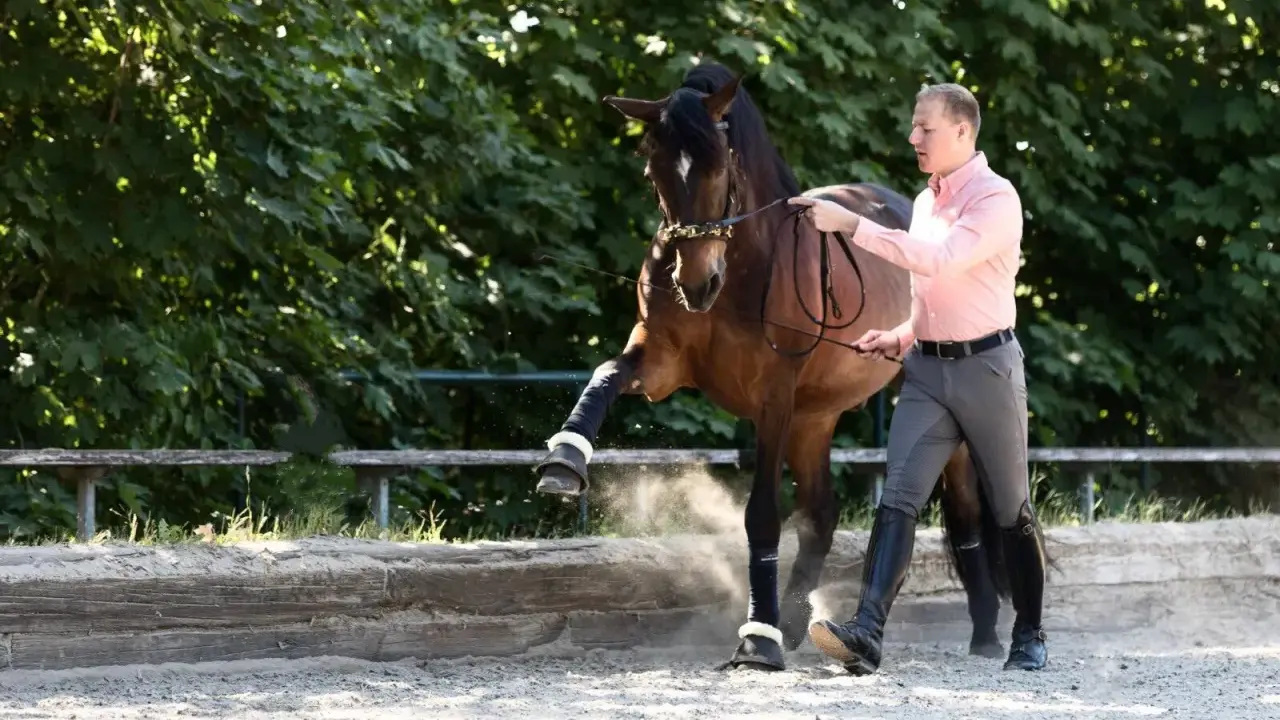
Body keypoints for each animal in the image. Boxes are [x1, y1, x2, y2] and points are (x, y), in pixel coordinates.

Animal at [532, 62, 1010, 671]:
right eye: (652, 169)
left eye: (719, 164)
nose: (696, 283)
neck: (741, 273)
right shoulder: (660, 360)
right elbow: (605, 376)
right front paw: (564, 462)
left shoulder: (773, 397)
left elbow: (761, 514)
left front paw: (757, 639)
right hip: (815, 418)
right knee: (821, 515)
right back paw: (801, 623)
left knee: (966, 511)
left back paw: (985, 632)